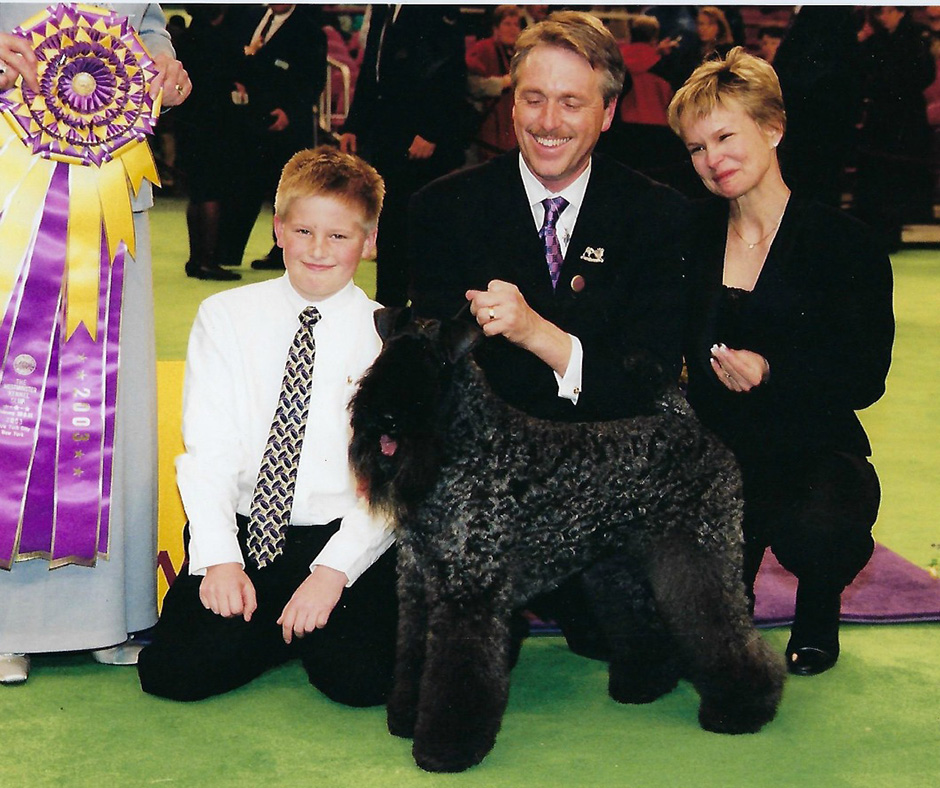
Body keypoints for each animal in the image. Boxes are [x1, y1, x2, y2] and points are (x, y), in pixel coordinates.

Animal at [348, 308, 784, 768]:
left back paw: (742, 708)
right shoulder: (419, 587)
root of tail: (687, 422)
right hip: (621, 567)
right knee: (644, 620)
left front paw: (445, 748)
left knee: (724, 629)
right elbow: (415, 654)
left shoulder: (469, 592)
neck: (467, 446)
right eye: (385, 360)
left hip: (700, 554)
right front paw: (405, 717)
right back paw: (645, 683)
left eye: (435, 366)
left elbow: (457, 672)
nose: (386, 420)